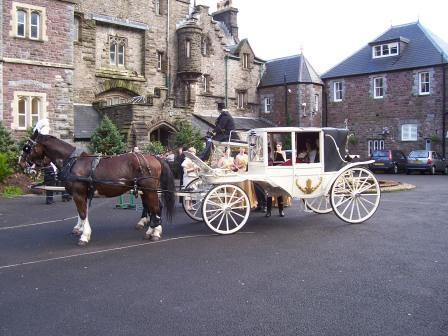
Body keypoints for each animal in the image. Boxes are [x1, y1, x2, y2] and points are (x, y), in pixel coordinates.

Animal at [20, 132, 175, 247]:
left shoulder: (78, 194)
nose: (20, 162)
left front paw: (84, 236)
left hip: (149, 190)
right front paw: (80, 229)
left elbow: (83, 213)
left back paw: (155, 232)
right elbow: (82, 213)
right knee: (152, 208)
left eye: (27, 147)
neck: (73, 162)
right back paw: (151, 230)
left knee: (156, 208)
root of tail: (155, 157)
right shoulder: (81, 194)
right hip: (145, 190)